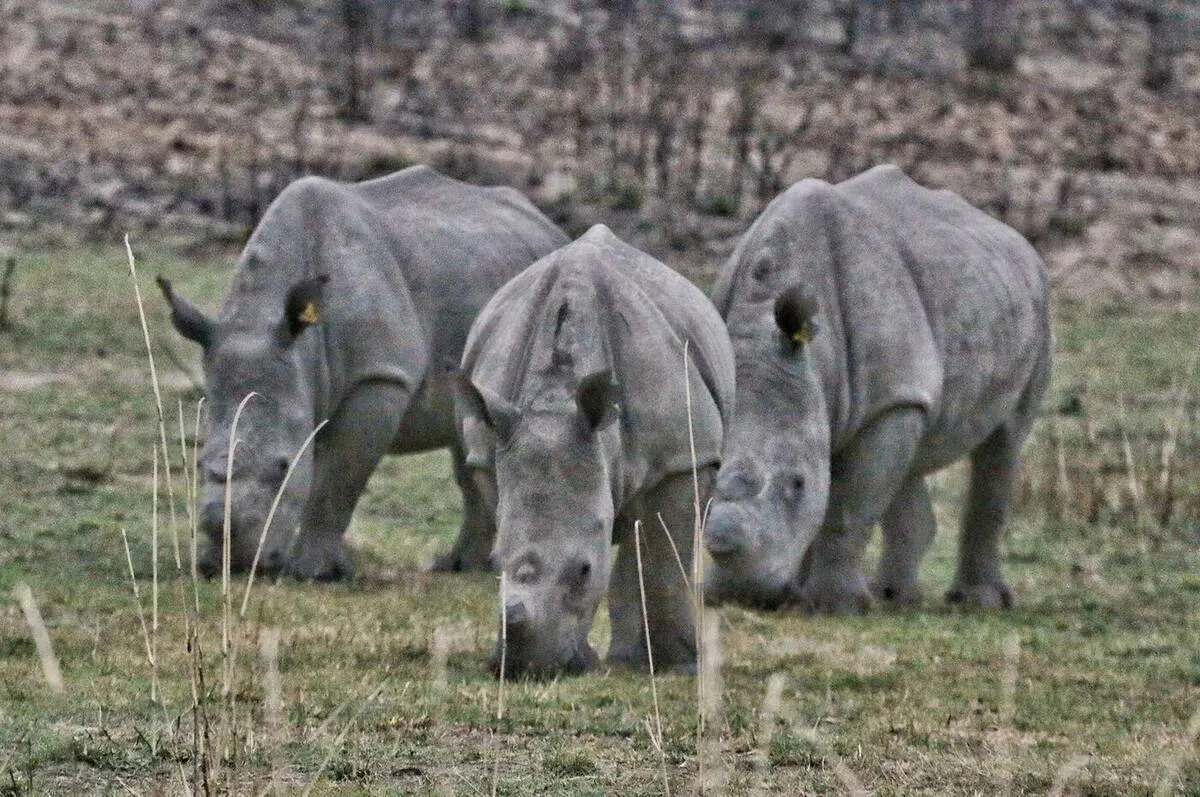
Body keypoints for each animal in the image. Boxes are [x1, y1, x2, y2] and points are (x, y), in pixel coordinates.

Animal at [157, 166, 568, 580]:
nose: (237, 565)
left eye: (283, 467)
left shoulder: (379, 377)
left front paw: (314, 572)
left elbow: (337, 479)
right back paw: (458, 567)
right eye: (199, 464)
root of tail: (548, 225)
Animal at [454, 225, 735, 677]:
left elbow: (663, 562)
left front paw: (679, 667)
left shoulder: (681, 459)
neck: (554, 401)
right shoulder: (493, 451)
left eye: (584, 571)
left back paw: (634, 659)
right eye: (493, 562)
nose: (527, 668)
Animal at [704, 165, 1051, 614]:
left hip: (1037, 307)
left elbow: (847, 507)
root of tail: (1020, 241)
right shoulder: (858, 393)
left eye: (797, 483)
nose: (739, 595)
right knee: (912, 455)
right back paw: (895, 597)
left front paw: (835, 607)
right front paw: (800, 596)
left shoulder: (889, 399)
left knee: (1004, 441)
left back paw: (978, 602)